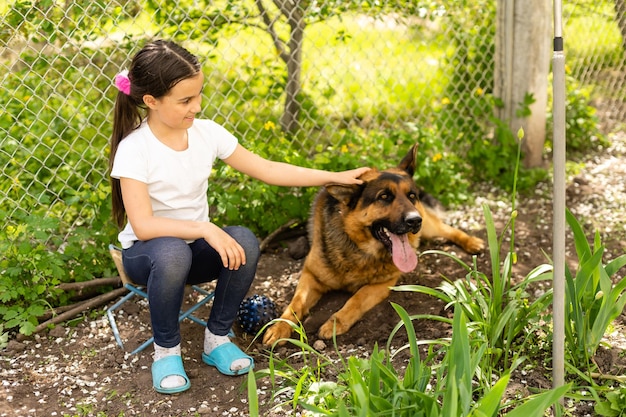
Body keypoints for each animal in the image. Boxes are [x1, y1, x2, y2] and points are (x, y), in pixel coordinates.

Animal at [260, 143, 486, 344]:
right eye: (384, 197)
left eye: (411, 196)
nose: (414, 221)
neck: (358, 248)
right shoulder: (310, 275)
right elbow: (295, 304)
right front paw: (279, 327)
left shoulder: (384, 283)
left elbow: (357, 298)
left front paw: (335, 323)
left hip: (429, 227)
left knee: (448, 229)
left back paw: (472, 242)